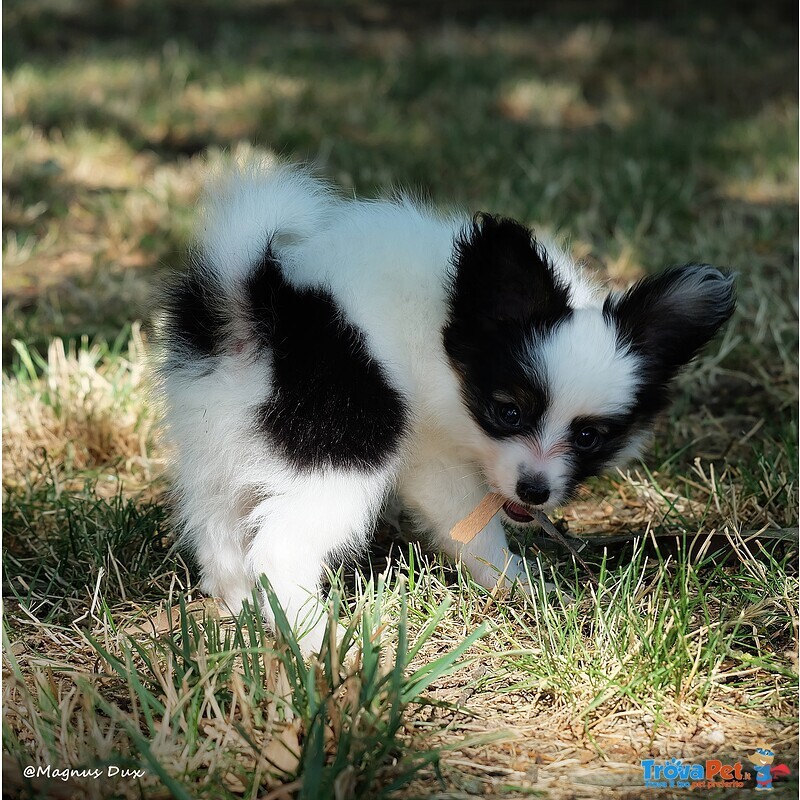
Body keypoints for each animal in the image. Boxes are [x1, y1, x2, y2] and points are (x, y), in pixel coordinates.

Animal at [153, 159, 736, 652]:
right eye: (509, 412)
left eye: (589, 436)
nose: (535, 491)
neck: (453, 338)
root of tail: (258, 306)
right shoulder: (434, 453)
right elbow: (471, 525)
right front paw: (519, 583)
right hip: (346, 445)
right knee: (280, 549)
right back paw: (319, 640)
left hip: (213, 436)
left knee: (216, 525)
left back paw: (240, 605)